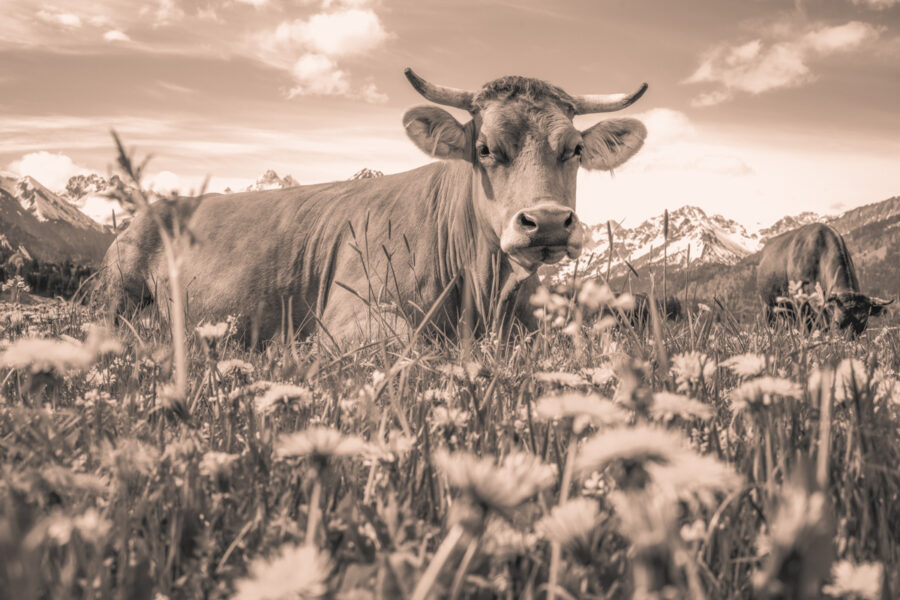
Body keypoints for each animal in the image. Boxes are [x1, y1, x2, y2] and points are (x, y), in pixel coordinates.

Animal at [96, 68, 648, 346]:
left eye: (575, 149)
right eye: (485, 149)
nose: (548, 221)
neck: (484, 291)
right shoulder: (346, 312)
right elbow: (407, 341)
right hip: (118, 290)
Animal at [752, 223, 892, 336]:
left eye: (864, 326)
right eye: (837, 323)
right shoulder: (800, 302)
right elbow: (807, 329)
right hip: (766, 304)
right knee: (771, 325)